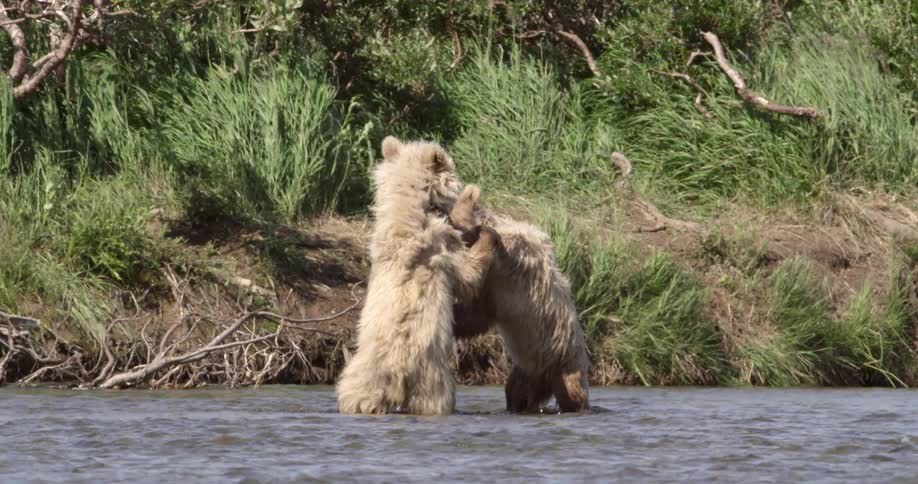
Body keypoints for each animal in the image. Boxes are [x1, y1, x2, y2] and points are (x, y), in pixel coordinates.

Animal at [336, 136, 498, 416]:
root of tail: (396, 376)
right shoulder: (439, 246)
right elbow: (467, 272)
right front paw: (479, 218)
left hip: (362, 376)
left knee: (356, 393)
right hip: (431, 376)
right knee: (438, 399)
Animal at [446, 203, 590, 413]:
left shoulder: (505, 276)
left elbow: (477, 314)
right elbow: (477, 314)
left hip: (565, 361)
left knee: (573, 392)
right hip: (527, 367)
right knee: (515, 391)